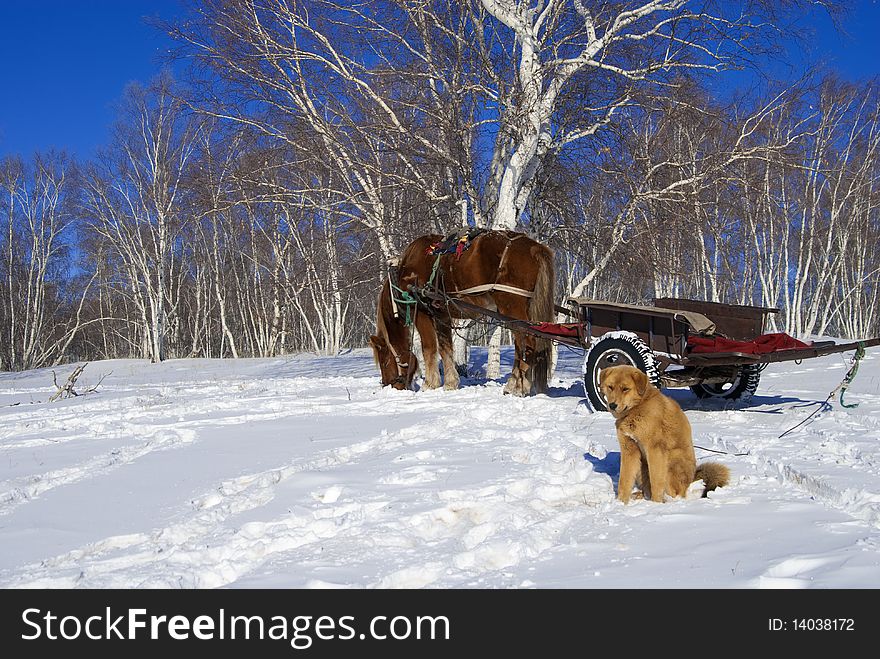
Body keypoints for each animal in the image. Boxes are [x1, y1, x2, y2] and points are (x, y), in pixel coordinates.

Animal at [368, 231, 552, 398]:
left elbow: (429, 348)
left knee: (526, 341)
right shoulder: (441, 315)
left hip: (511, 306)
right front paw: (450, 383)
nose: (390, 384)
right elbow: (445, 348)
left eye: (384, 361)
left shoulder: (421, 312)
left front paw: (430, 384)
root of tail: (535, 247)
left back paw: (517, 386)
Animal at [600, 364, 728, 502]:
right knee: (647, 488)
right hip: (642, 465)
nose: (612, 405)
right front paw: (621, 502)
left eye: (625, 389)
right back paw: (640, 495)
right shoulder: (629, 449)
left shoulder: (654, 450)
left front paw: (656, 503)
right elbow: (624, 480)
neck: (637, 409)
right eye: (610, 387)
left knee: (674, 493)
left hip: (671, 461)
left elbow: (656, 481)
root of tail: (692, 479)